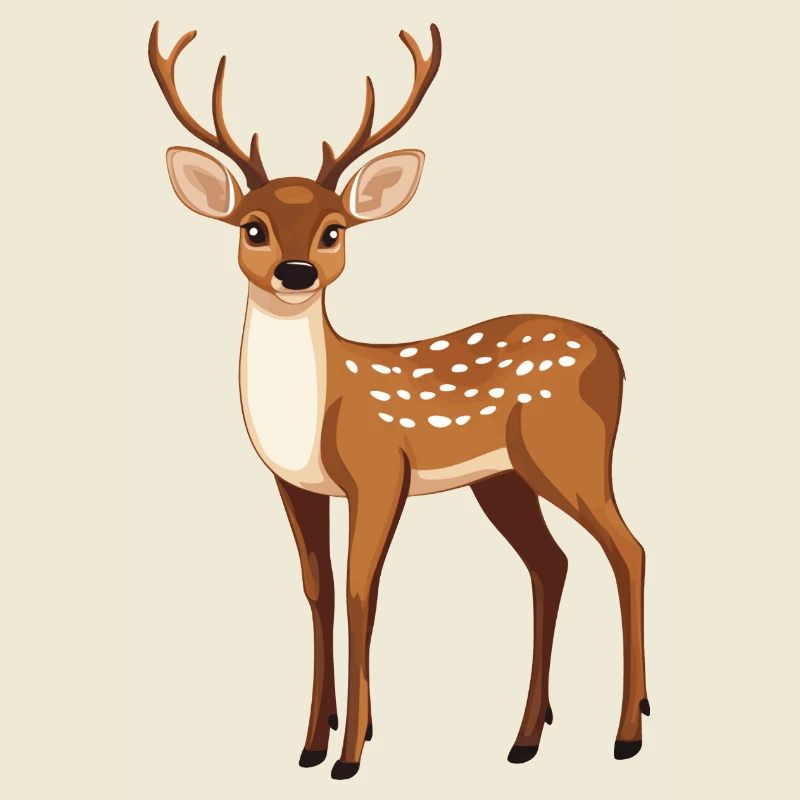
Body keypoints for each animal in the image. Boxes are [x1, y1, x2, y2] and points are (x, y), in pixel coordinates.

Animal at [148, 20, 649, 780]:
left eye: (335, 229)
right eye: (252, 226)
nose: (297, 272)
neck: (314, 412)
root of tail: (615, 352)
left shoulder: (380, 470)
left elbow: (362, 591)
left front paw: (351, 753)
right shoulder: (294, 485)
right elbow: (319, 589)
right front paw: (311, 742)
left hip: (568, 453)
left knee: (628, 550)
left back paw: (627, 733)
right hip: (503, 478)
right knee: (551, 563)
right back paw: (525, 738)